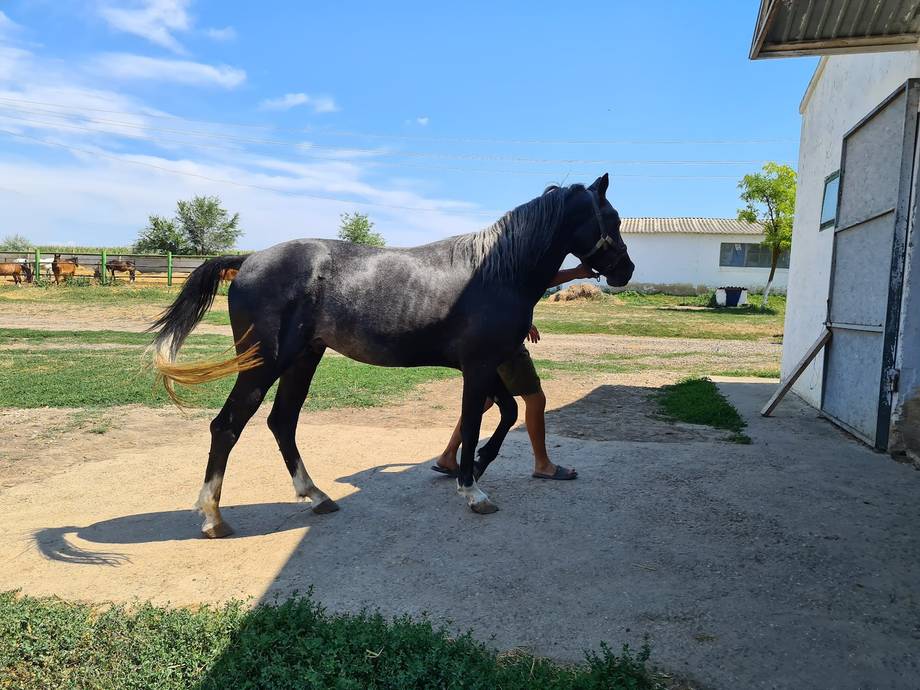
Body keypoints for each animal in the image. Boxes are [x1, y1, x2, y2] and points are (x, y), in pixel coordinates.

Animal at [150, 174, 634, 538]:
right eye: (611, 218)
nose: (626, 270)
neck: (498, 271)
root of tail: (249, 260)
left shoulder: (486, 367)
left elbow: (509, 413)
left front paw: (476, 465)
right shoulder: (477, 369)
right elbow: (475, 422)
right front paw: (472, 490)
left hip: (303, 359)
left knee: (281, 422)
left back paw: (317, 496)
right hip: (264, 364)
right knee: (227, 426)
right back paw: (213, 518)